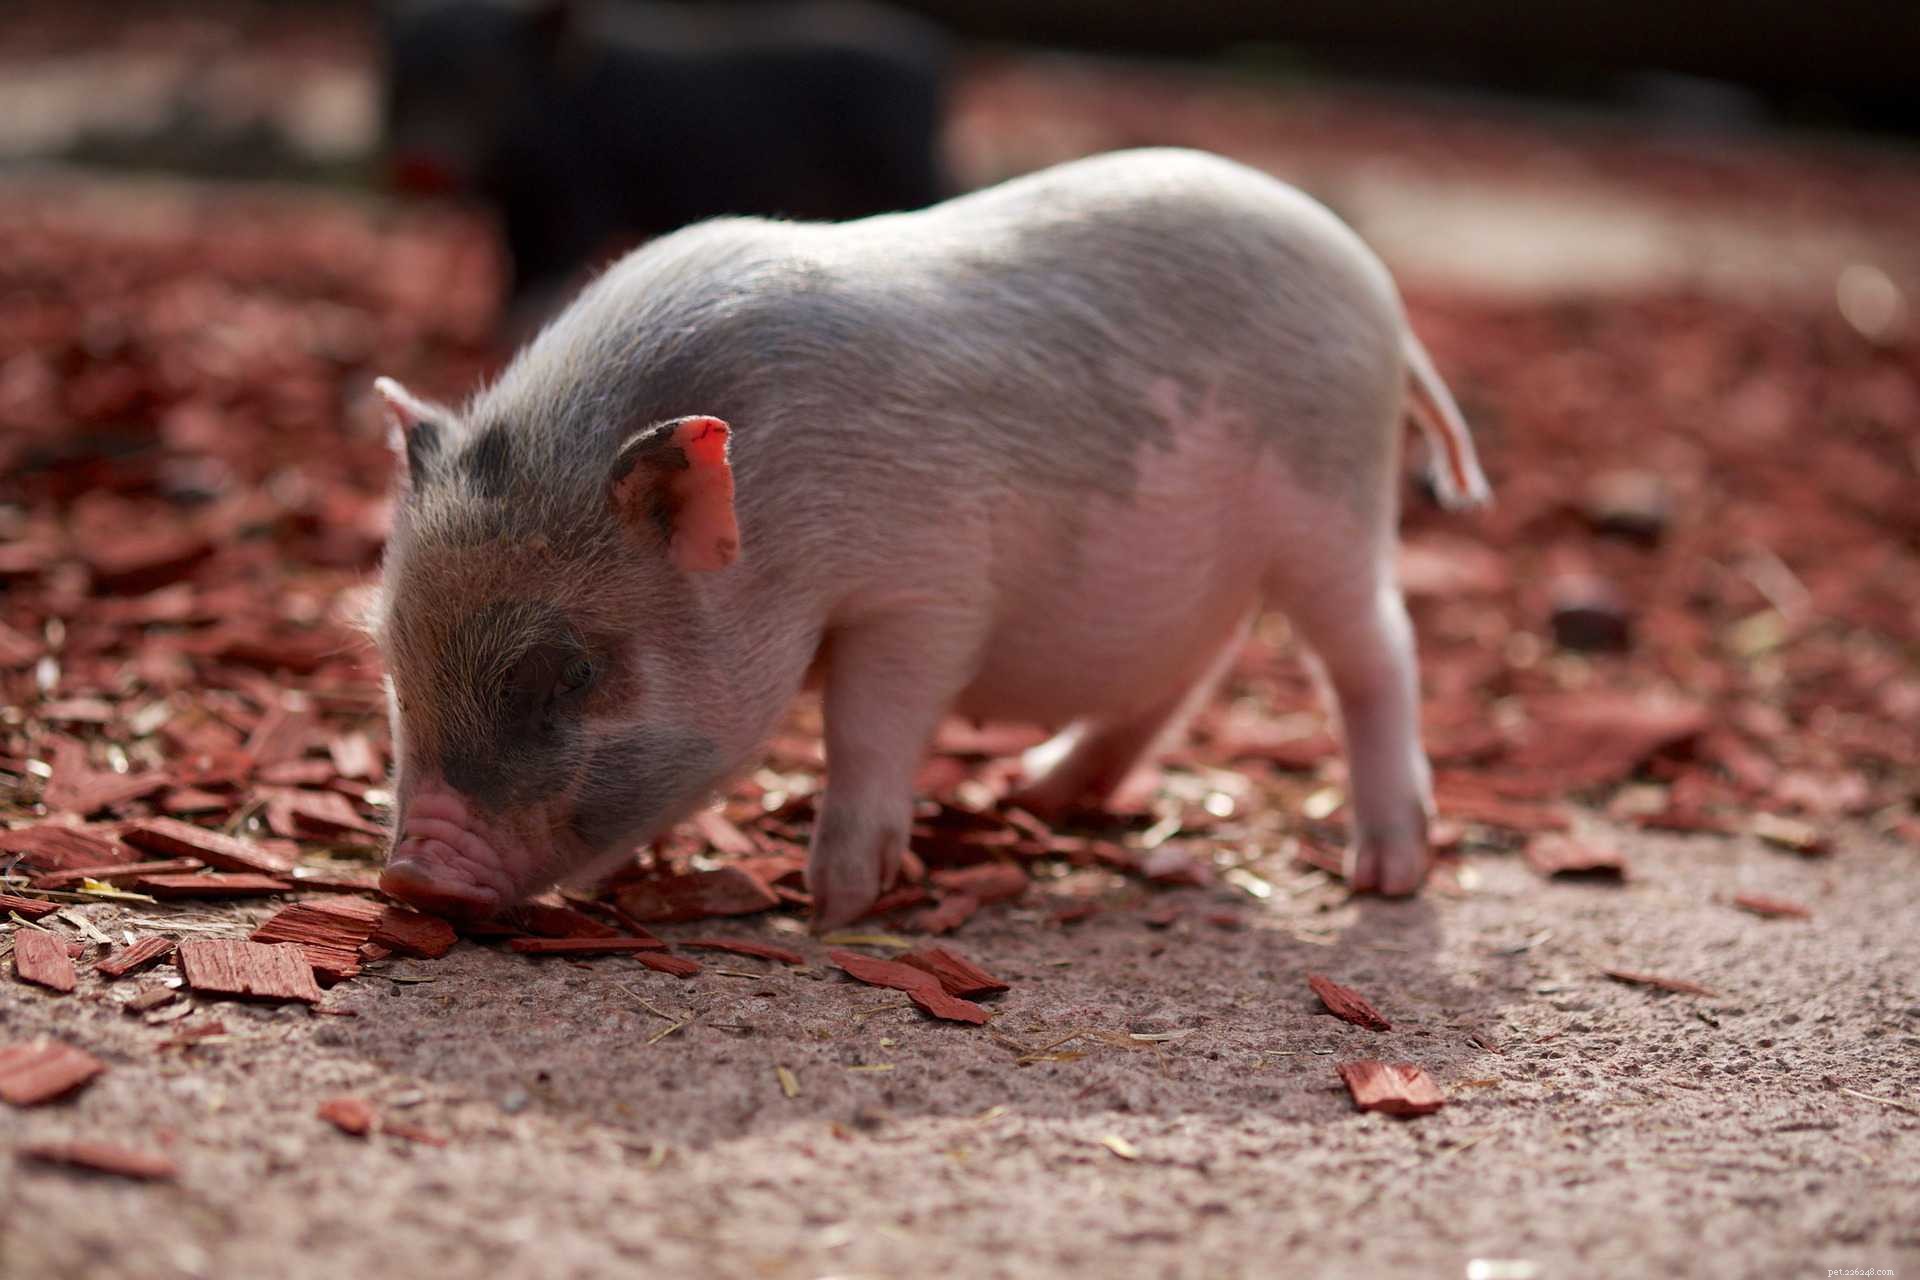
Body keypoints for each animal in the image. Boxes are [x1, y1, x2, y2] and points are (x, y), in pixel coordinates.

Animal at [369, 147, 1491, 929]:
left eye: (571, 674)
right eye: (392, 663)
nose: (413, 875)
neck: (779, 508)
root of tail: (1384, 298)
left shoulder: (923, 590)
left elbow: (870, 725)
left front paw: (834, 904)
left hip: (1332, 507)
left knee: (1378, 650)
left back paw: (1387, 873)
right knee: (1191, 669)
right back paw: (1034, 789)